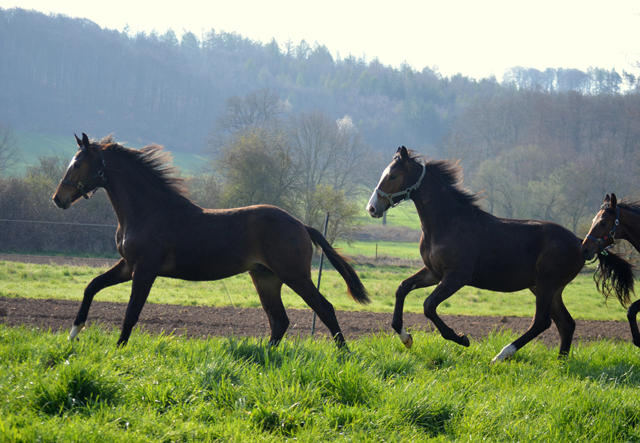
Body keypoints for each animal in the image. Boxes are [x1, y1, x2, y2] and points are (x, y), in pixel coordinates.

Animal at [53, 134, 370, 348]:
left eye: (78, 164)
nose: (58, 199)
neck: (147, 211)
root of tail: (301, 225)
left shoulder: (145, 269)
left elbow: (131, 313)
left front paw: (119, 350)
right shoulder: (128, 266)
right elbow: (92, 286)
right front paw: (73, 333)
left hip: (295, 275)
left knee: (324, 309)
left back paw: (344, 356)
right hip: (266, 278)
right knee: (279, 320)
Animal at [368, 147, 588, 362]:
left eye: (393, 176)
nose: (371, 208)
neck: (447, 223)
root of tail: (579, 242)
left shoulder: (457, 276)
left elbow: (428, 305)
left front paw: (461, 339)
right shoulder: (434, 272)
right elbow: (402, 288)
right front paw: (406, 338)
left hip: (546, 283)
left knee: (542, 321)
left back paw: (501, 355)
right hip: (547, 287)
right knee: (566, 323)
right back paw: (560, 363)